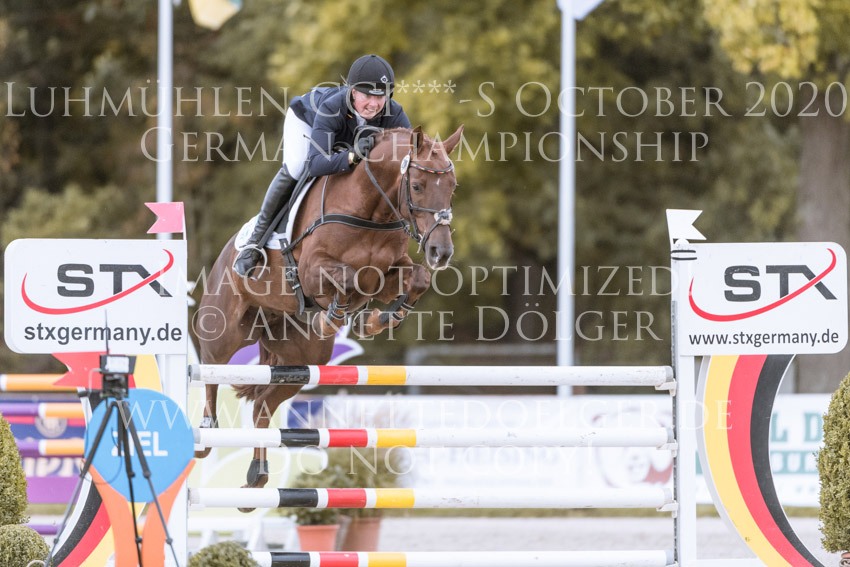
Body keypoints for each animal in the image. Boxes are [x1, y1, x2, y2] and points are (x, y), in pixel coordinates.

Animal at [193, 125, 463, 508]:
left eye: (452, 186)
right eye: (418, 186)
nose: (441, 252)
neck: (372, 213)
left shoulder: (390, 273)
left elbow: (416, 279)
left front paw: (375, 320)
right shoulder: (311, 269)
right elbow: (348, 279)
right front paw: (337, 316)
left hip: (302, 359)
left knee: (262, 405)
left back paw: (255, 480)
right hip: (225, 331)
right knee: (210, 372)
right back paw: (206, 435)